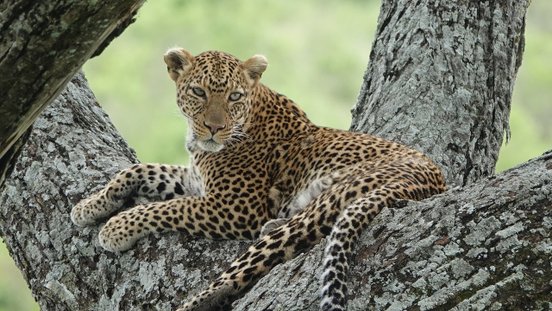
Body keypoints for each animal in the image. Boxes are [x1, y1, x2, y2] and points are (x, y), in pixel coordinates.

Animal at [70, 47, 448, 310]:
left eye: (234, 96)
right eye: (198, 92)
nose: (214, 127)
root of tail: (433, 179)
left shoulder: (233, 208)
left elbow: (168, 209)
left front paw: (115, 228)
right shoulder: (195, 180)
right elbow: (140, 170)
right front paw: (90, 206)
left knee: (236, 274)